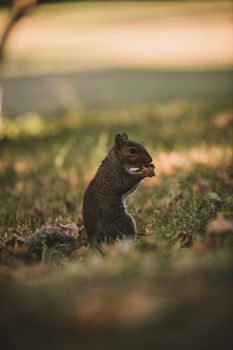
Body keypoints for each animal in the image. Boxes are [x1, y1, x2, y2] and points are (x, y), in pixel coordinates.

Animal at [15, 133, 155, 258]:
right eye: (132, 150)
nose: (150, 160)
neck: (115, 160)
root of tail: (92, 241)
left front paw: (148, 167)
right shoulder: (114, 176)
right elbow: (127, 184)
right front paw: (143, 172)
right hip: (123, 222)